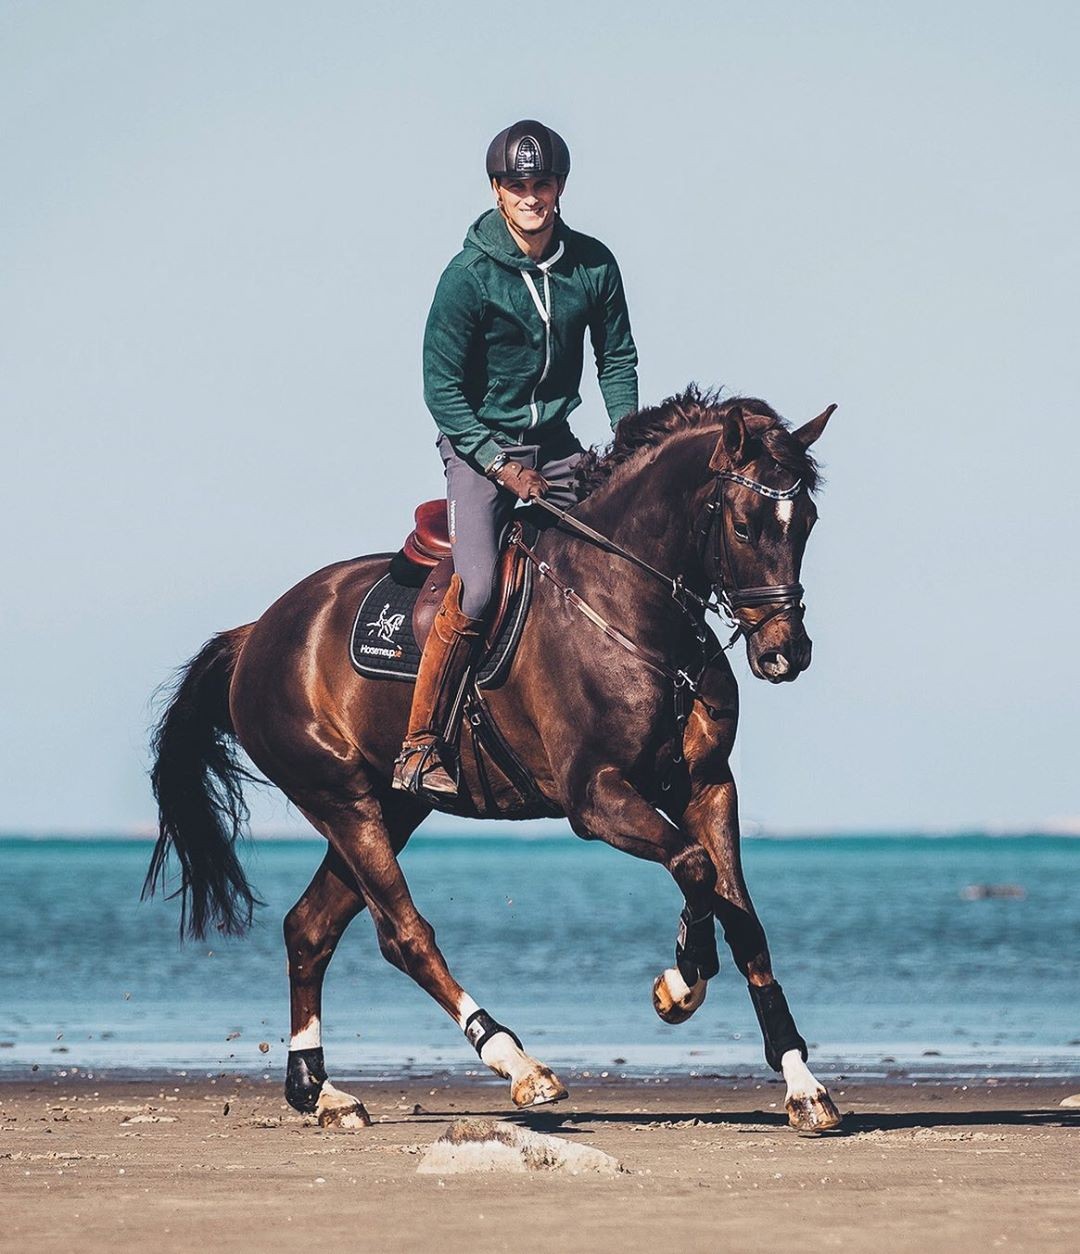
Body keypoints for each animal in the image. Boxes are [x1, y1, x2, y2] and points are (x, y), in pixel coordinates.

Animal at [142, 386, 837, 1133]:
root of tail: (256, 634)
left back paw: (319, 1090)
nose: (786, 654)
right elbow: (694, 868)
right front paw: (679, 982)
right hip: (343, 802)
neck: (629, 602)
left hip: (391, 807)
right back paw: (518, 1064)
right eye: (743, 526)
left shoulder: (708, 786)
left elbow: (743, 919)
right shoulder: (596, 796)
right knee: (404, 935)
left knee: (310, 927)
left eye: (807, 522)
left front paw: (802, 1084)